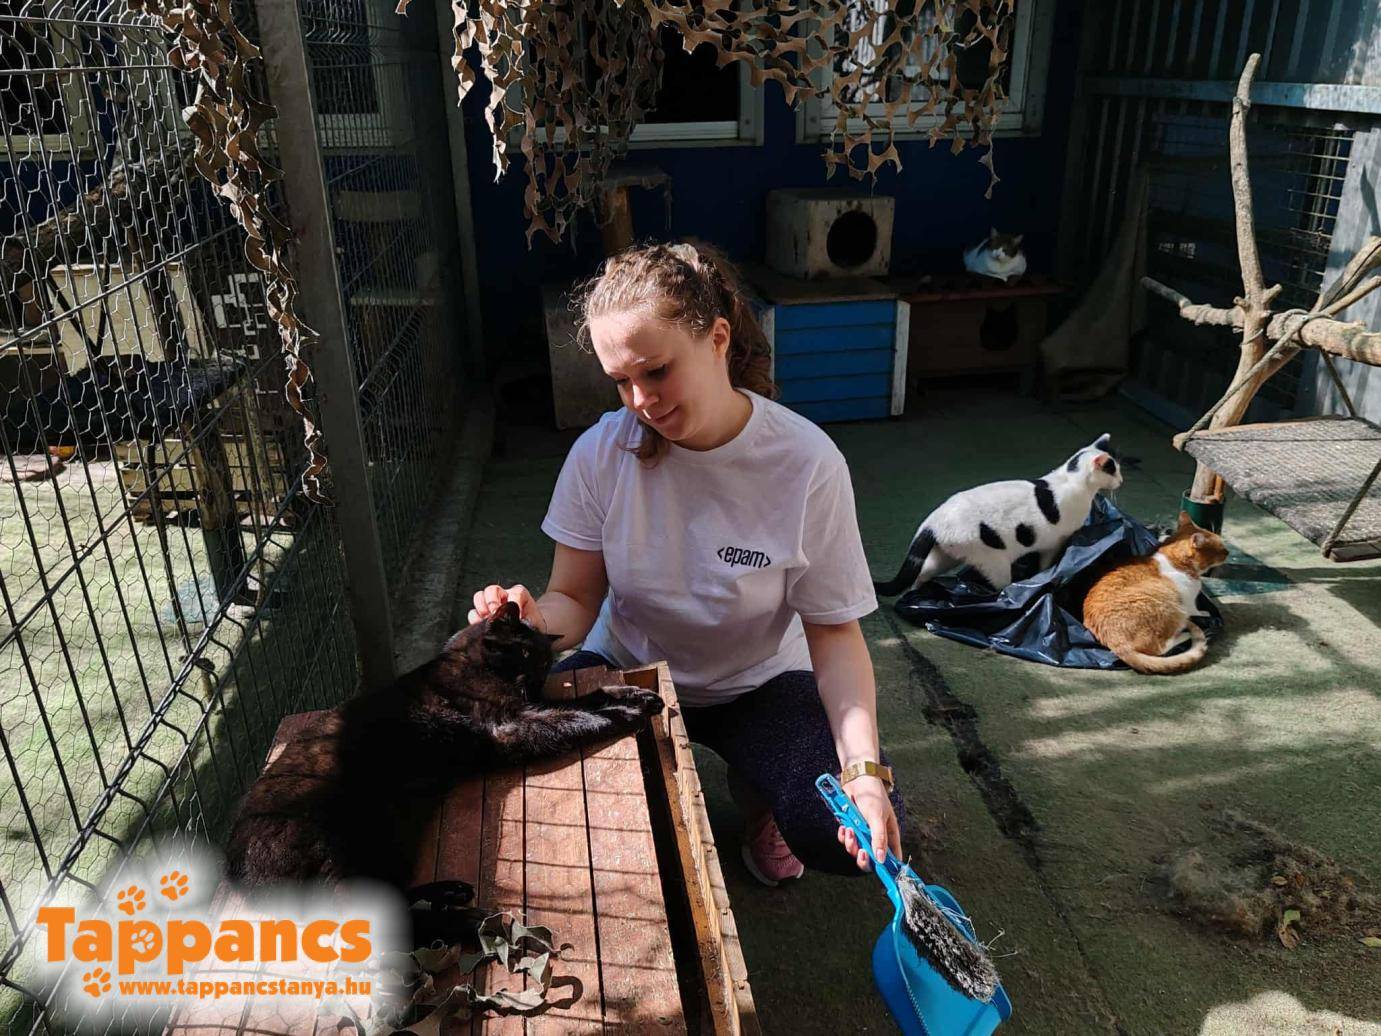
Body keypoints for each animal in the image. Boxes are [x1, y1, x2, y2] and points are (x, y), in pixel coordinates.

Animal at [224, 601, 664, 889]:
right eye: (525, 652)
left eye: (545, 660)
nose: (540, 676)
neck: (470, 661)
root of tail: (235, 862)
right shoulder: (508, 726)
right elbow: (575, 718)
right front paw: (626, 713)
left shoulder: (529, 708)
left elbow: (588, 697)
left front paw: (636, 696)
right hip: (350, 846)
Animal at [874, 434, 1124, 595]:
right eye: (1114, 471)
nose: (1121, 481)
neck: (1070, 479)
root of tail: (932, 521)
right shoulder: (1054, 544)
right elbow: (1046, 564)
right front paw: (1043, 576)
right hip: (995, 560)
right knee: (1000, 584)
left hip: (945, 556)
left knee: (921, 573)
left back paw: (916, 594)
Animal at [1081, 511, 1228, 674]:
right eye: (1221, 549)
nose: (1228, 552)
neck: (1174, 560)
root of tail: (1117, 646)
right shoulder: (1188, 602)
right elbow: (1196, 611)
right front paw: (1204, 614)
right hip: (1174, 610)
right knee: (1160, 647)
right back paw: (1185, 634)